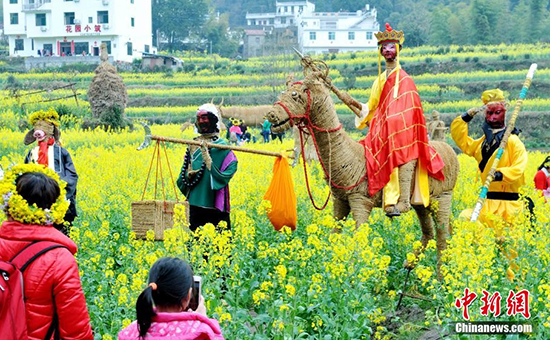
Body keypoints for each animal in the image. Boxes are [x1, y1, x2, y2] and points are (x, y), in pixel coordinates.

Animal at [268, 71, 462, 262]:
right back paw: (410, 265)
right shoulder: (341, 201)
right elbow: (333, 235)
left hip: (442, 197)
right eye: (283, 93)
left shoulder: (360, 200)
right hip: (422, 202)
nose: (271, 115)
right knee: (429, 233)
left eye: (295, 95)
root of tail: (451, 152)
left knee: (442, 237)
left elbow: (357, 239)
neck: (350, 156)